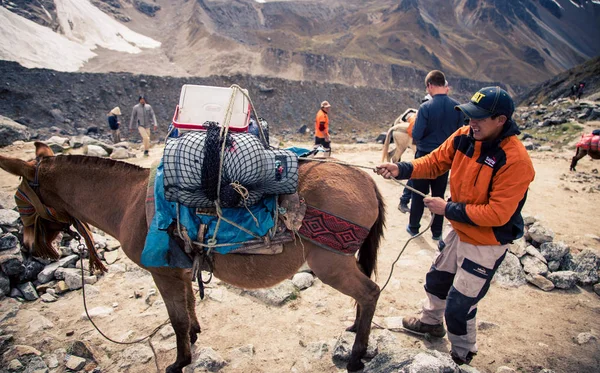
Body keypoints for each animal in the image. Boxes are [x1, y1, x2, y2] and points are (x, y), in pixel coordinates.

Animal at [0, 142, 384, 372]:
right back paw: (355, 332)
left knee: (370, 292)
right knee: (366, 292)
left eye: (19, 199)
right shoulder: (180, 271)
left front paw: (180, 361)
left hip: (330, 264)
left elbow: (176, 320)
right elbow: (188, 307)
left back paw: (356, 356)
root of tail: (364, 178)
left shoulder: (162, 273)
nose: (28, 248)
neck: (127, 202)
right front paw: (195, 337)